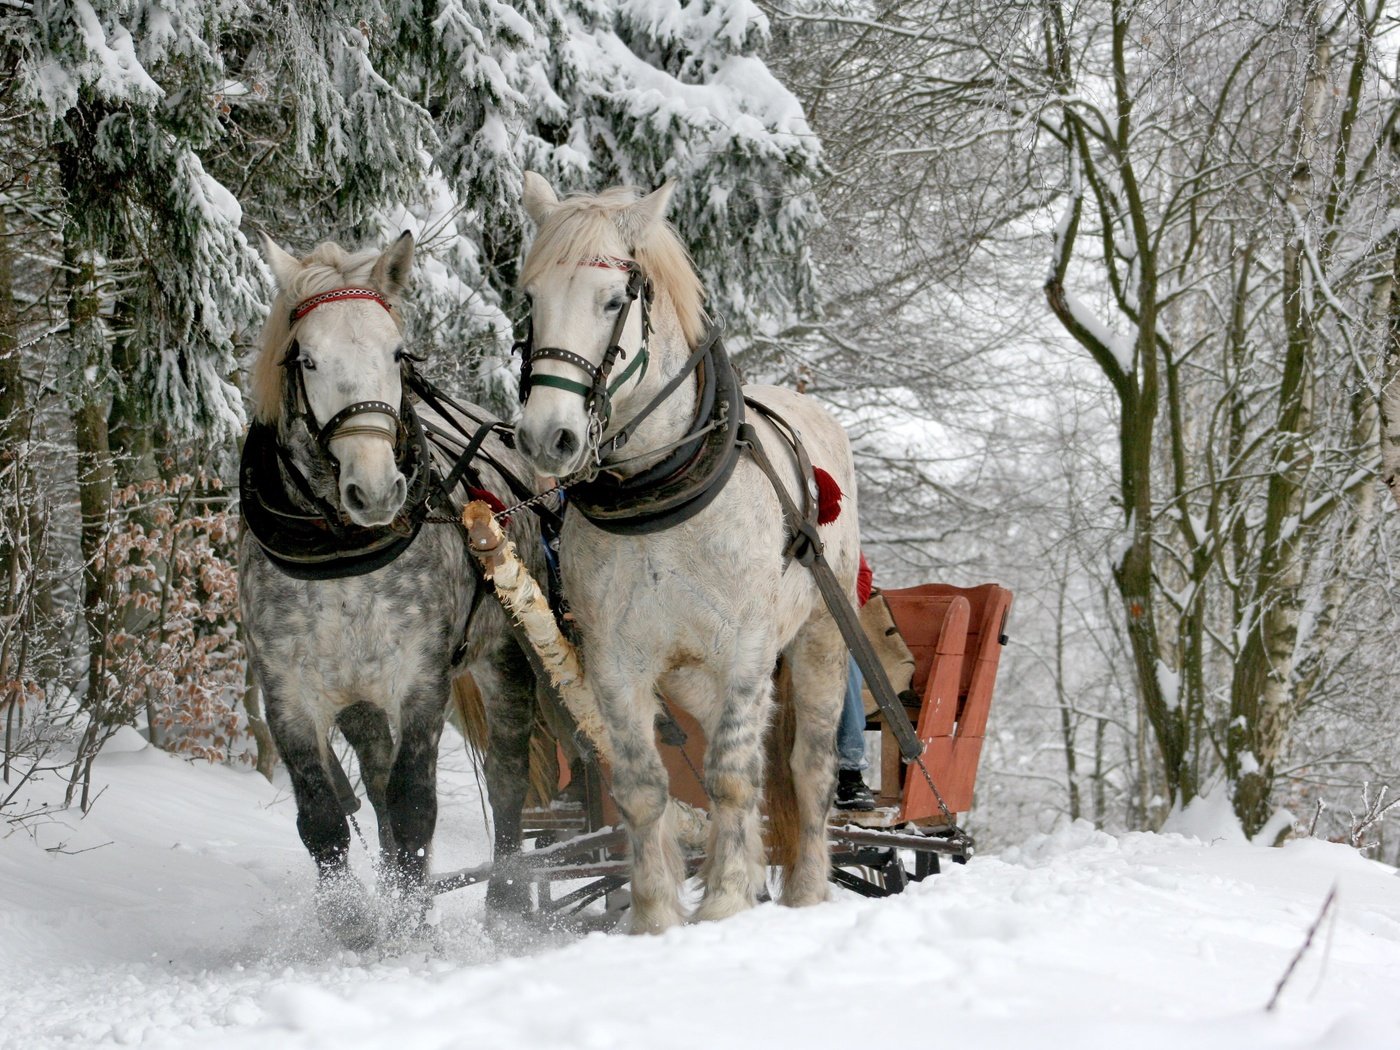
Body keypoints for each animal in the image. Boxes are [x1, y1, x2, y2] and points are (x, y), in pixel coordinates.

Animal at [238, 233, 537, 952]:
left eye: (397, 353)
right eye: (308, 359)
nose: (375, 491)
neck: (341, 552)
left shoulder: (420, 678)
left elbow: (415, 803)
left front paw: (409, 923)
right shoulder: (288, 691)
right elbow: (322, 814)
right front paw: (354, 919)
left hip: (506, 658)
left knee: (508, 776)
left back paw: (507, 902)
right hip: (360, 700)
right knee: (373, 784)